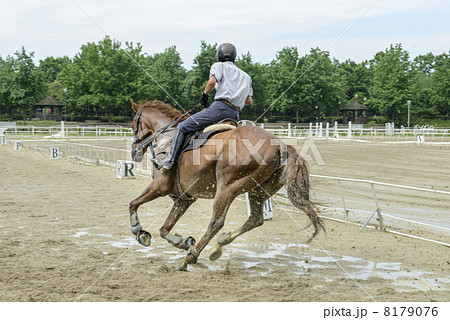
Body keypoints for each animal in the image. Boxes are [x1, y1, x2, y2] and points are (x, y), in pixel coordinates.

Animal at [127, 99, 324, 270]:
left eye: (133, 124)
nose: (134, 151)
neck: (168, 137)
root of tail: (279, 145)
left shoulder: (158, 187)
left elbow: (133, 204)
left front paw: (138, 231)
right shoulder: (184, 198)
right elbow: (164, 228)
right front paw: (182, 242)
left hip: (226, 188)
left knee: (216, 222)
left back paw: (189, 259)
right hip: (257, 191)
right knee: (255, 219)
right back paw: (218, 244)